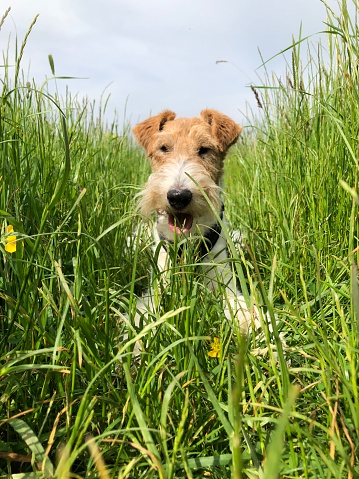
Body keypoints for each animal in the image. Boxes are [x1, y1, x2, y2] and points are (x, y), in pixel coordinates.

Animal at [132, 109, 258, 334]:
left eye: (204, 149)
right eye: (163, 148)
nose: (178, 196)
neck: (187, 243)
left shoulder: (223, 281)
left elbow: (242, 310)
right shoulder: (160, 283)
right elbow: (149, 313)